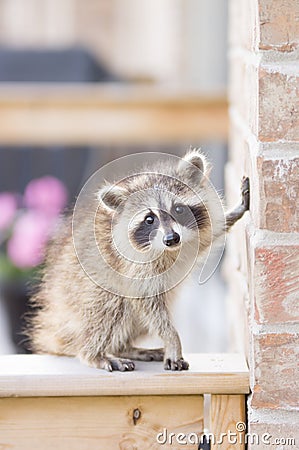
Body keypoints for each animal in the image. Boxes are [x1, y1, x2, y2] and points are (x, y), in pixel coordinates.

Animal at [28, 149, 250, 370]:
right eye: (149, 219)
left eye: (178, 209)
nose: (171, 238)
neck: (170, 250)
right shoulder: (133, 266)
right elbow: (145, 300)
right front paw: (171, 339)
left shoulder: (194, 237)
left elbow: (212, 234)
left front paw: (235, 212)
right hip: (84, 296)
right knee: (110, 308)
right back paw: (94, 353)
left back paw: (124, 348)